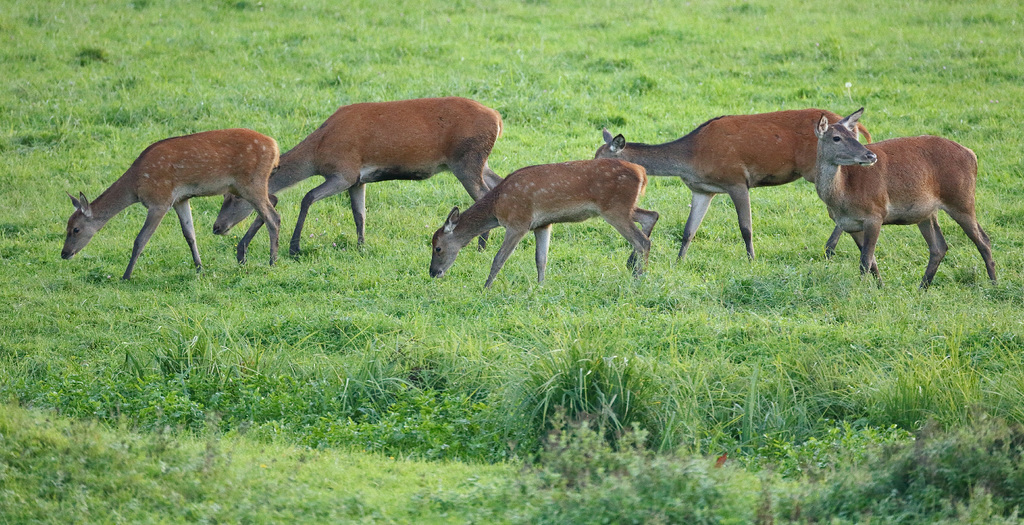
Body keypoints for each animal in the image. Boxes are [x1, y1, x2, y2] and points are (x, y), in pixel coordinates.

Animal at [63, 127, 280, 278]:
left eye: (76, 229)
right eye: (67, 226)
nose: (64, 253)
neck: (135, 185)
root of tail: (274, 145)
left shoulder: (160, 200)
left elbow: (140, 239)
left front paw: (126, 275)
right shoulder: (181, 200)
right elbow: (189, 234)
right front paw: (199, 268)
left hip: (252, 183)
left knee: (273, 217)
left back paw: (272, 262)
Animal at [214, 97, 505, 255]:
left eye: (232, 197)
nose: (217, 227)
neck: (317, 153)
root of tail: (498, 119)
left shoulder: (344, 171)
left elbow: (307, 197)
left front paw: (295, 248)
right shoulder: (357, 180)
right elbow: (359, 213)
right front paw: (361, 246)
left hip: (466, 160)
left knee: (483, 195)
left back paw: (481, 247)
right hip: (479, 161)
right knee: (498, 183)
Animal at [430, 157, 655, 288]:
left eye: (438, 248)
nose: (432, 272)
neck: (497, 207)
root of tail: (642, 173)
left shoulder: (518, 222)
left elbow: (499, 259)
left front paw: (485, 287)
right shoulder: (542, 224)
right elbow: (541, 259)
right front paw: (540, 287)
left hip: (615, 208)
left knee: (642, 241)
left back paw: (639, 279)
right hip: (623, 207)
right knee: (651, 215)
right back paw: (632, 265)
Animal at [593, 107, 872, 259]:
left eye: (601, 159)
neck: (692, 157)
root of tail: (857, 126)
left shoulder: (737, 181)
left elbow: (746, 228)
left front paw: (751, 260)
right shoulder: (702, 190)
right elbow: (688, 230)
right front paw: (678, 261)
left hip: (820, 167)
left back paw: (830, 248)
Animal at [811, 106, 995, 286]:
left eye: (853, 135)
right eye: (836, 138)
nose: (870, 156)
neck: (842, 198)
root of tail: (972, 155)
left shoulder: (875, 215)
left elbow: (865, 261)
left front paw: (862, 290)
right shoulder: (849, 225)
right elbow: (873, 262)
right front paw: (881, 288)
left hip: (961, 199)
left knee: (983, 239)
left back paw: (994, 283)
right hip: (927, 213)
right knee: (939, 247)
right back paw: (922, 287)